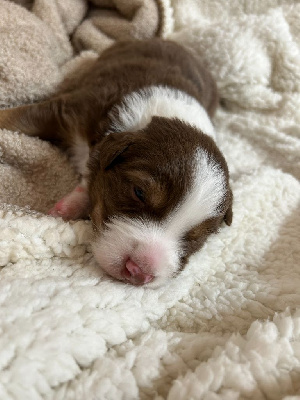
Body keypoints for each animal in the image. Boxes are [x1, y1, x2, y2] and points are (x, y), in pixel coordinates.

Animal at [0, 38, 232, 288]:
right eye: (138, 193)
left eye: (196, 237)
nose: (139, 272)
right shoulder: (72, 109)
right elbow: (16, 117)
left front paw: (72, 204)